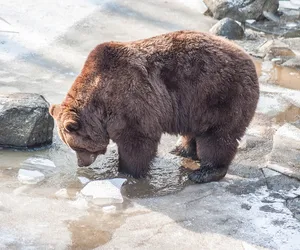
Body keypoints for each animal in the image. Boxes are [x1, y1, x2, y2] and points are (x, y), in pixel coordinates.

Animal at [48, 30, 258, 184]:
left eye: (77, 146)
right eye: (72, 146)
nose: (81, 164)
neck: (100, 105)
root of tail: (248, 59)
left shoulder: (130, 100)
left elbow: (138, 140)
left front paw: (126, 171)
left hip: (220, 96)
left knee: (218, 137)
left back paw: (205, 172)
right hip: (198, 106)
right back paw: (182, 149)